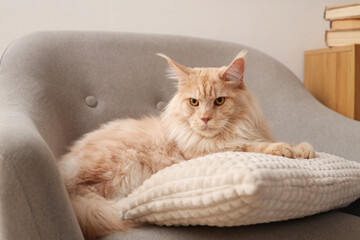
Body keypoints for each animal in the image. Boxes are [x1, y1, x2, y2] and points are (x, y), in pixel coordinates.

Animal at [57, 49, 316, 239]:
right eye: (194, 102)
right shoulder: (211, 152)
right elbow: (252, 146)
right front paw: (285, 149)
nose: (205, 118)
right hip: (121, 166)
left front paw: (305, 150)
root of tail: (64, 178)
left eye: (219, 101)